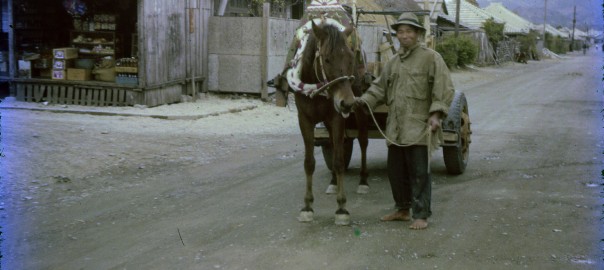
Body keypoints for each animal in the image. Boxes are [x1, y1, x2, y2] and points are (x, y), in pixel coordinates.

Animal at [292, 20, 368, 225]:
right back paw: (333, 182)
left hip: (359, 109)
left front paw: (341, 208)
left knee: (363, 142)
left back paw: (363, 181)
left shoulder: (337, 117)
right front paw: (307, 206)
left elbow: (339, 160)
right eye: (326, 59)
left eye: (350, 59)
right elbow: (309, 162)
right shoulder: (304, 119)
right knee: (333, 145)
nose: (347, 103)